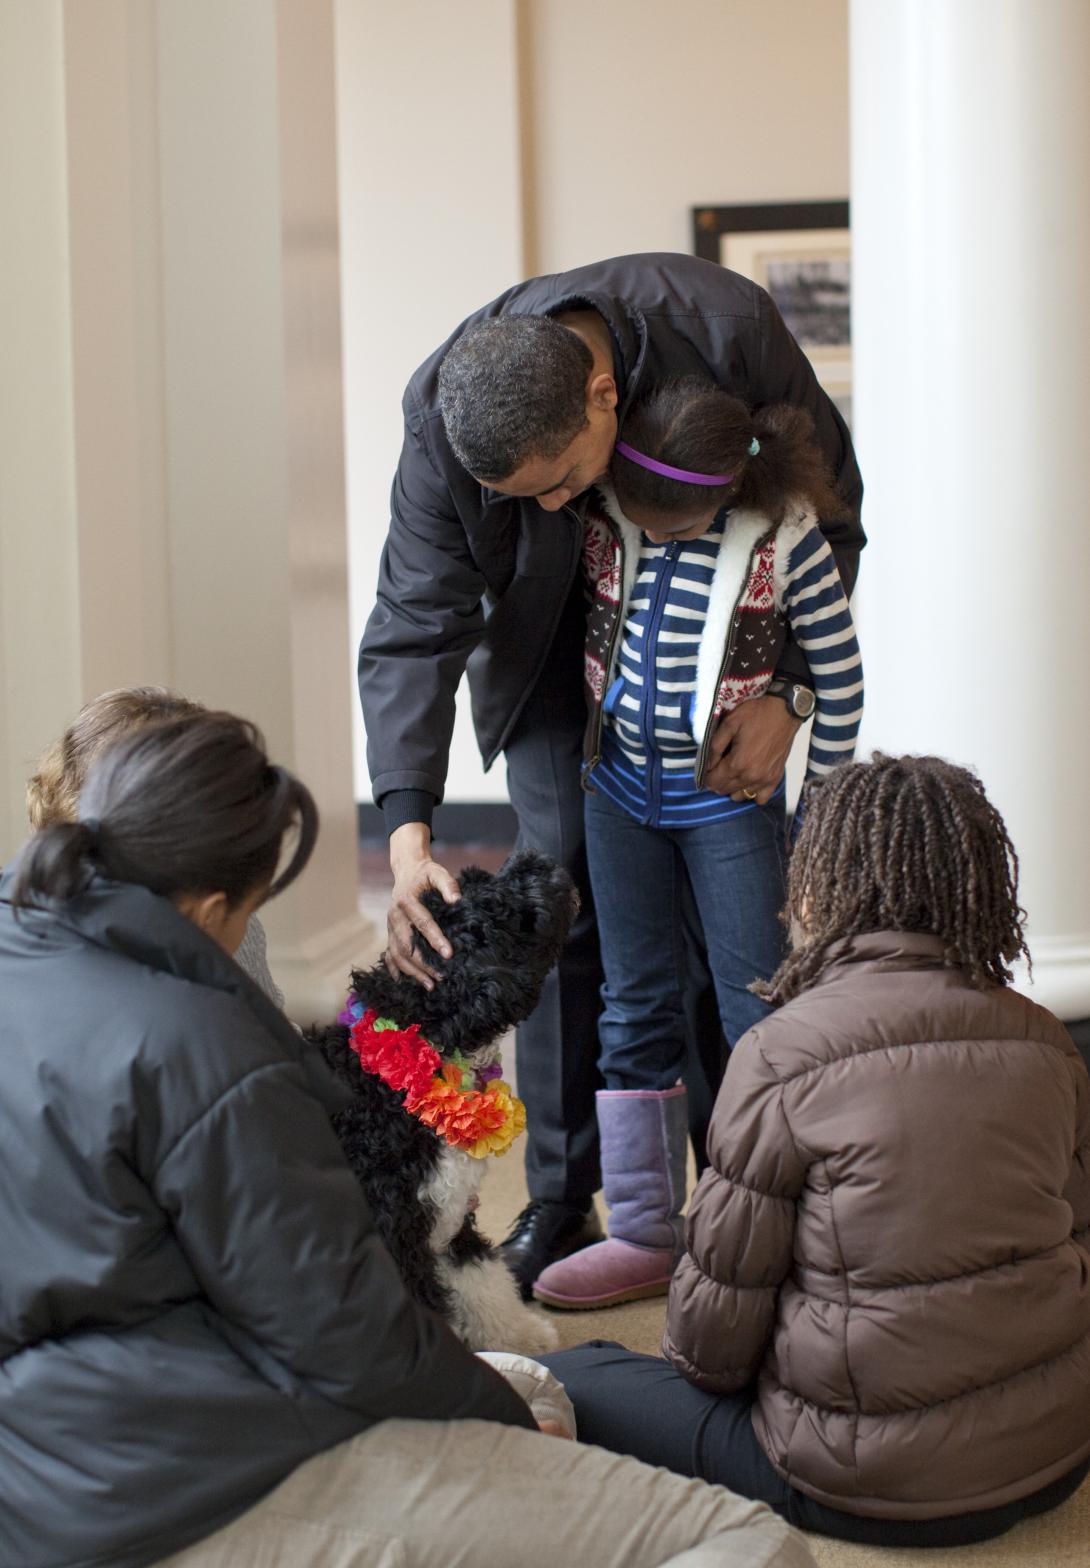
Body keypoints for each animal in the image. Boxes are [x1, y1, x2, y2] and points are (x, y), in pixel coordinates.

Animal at [308, 852, 577, 1354]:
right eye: (494, 903)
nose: (534, 858)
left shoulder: (448, 1219)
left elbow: (484, 1282)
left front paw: (522, 1338)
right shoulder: (395, 1232)